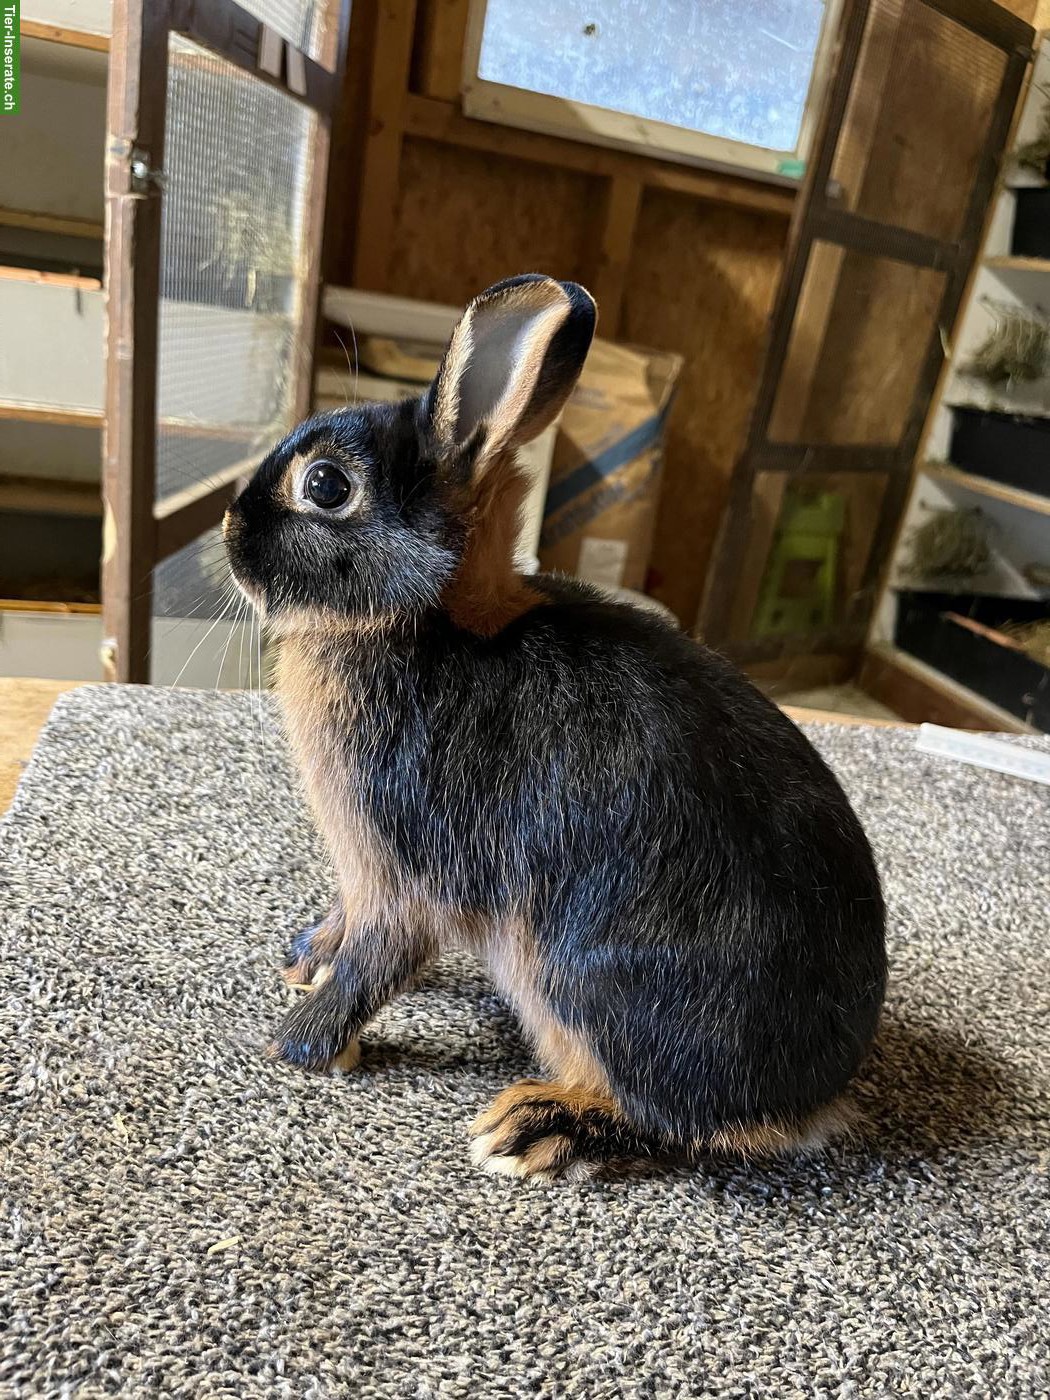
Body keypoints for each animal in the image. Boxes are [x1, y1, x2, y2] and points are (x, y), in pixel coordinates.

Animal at [223, 273, 886, 1180]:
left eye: (326, 487)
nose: (227, 531)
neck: (429, 623)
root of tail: (809, 1102)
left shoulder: (406, 871)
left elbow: (379, 957)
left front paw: (300, 1043)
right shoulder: (364, 878)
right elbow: (347, 930)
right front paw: (306, 960)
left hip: (581, 983)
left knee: (666, 1119)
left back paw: (534, 1123)